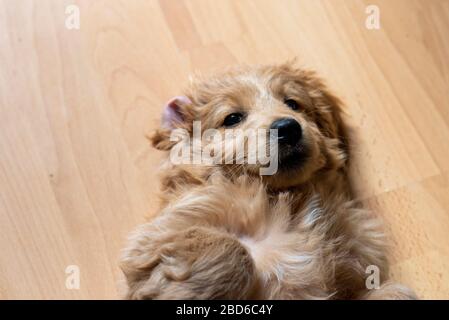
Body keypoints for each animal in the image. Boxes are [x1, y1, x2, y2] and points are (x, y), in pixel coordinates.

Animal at [119, 63, 416, 300]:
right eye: (232, 118)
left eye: (293, 103)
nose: (288, 127)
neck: (284, 199)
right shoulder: (155, 239)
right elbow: (230, 247)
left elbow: (393, 292)